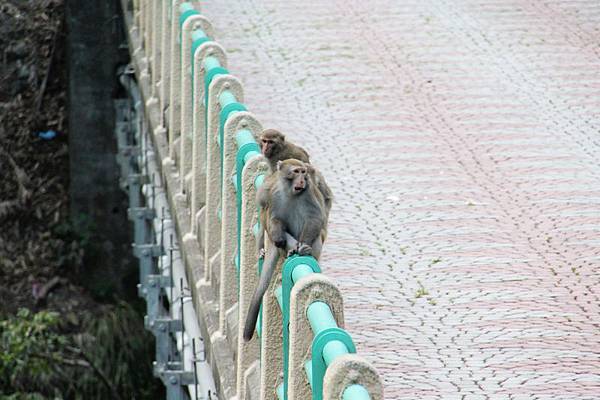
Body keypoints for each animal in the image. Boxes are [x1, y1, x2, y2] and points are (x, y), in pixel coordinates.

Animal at [243, 159, 328, 340]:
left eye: (303, 172)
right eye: (296, 171)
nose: (302, 180)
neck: (291, 193)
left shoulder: (308, 194)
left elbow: (315, 218)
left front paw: (304, 246)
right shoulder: (274, 195)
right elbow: (275, 219)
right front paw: (281, 238)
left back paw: (305, 250)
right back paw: (289, 248)